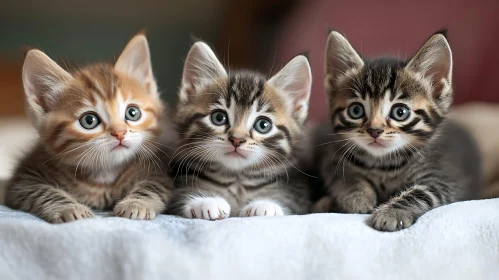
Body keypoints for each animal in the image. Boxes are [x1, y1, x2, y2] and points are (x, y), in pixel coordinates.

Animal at [4, 34, 174, 223]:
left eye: (132, 112)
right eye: (89, 120)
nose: (120, 133)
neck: (104, 175)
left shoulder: (157, 170)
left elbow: (153, 186)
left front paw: (136, 204)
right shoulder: (23, 180)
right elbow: (43, 192)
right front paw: (71, 208)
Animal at [168, 41, 312, 219]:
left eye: (263, 125)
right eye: (218, 118)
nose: (237, 139)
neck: (237, 180)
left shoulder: (298, 194)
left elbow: (288, 201)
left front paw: (265, 205)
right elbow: (178, 196)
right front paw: (205, 201)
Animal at [316, 31, 484, 232]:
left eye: (400, 112)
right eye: (356, 111)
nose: (374, 130)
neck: (383, 165)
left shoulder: (447, 179)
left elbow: (423, 193)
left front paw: (390, 213)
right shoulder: (331, 160)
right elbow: (345, 177)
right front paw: (357, 198)